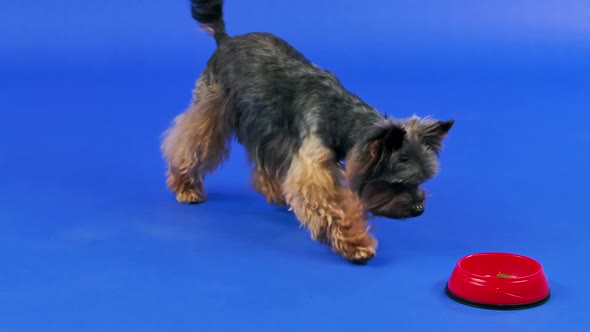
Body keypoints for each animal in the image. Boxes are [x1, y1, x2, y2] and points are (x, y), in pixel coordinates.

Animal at [160, 0, 456, 264]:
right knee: (189, 144)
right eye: (398, 182)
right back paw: (186, 186)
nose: (419, 209)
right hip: (211, 107)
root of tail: (225, 39)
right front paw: (355, 244)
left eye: (422, 180)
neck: (341, 114)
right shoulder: (313, 168)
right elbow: (333, 207)